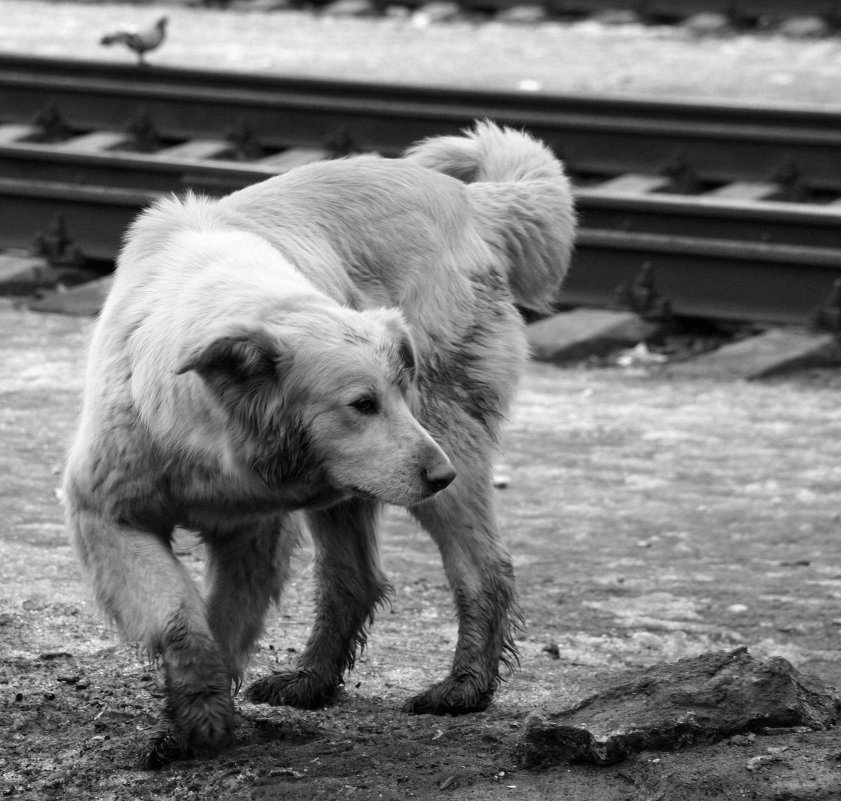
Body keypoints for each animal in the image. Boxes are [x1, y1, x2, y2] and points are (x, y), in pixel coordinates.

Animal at [64, 119, 576, 764]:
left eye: (397, 392)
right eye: (362, 403)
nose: (440, 475)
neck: (205, 436)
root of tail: (471, 201)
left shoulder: (250, 529)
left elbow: (223, 621)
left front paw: (200, 721)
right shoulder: (110, 512)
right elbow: (182, 615)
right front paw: (197, 717)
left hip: (438, 431)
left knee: (483, 566)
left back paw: (463, 687)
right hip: (359, 478)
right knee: (352, 578)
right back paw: (310, 680)